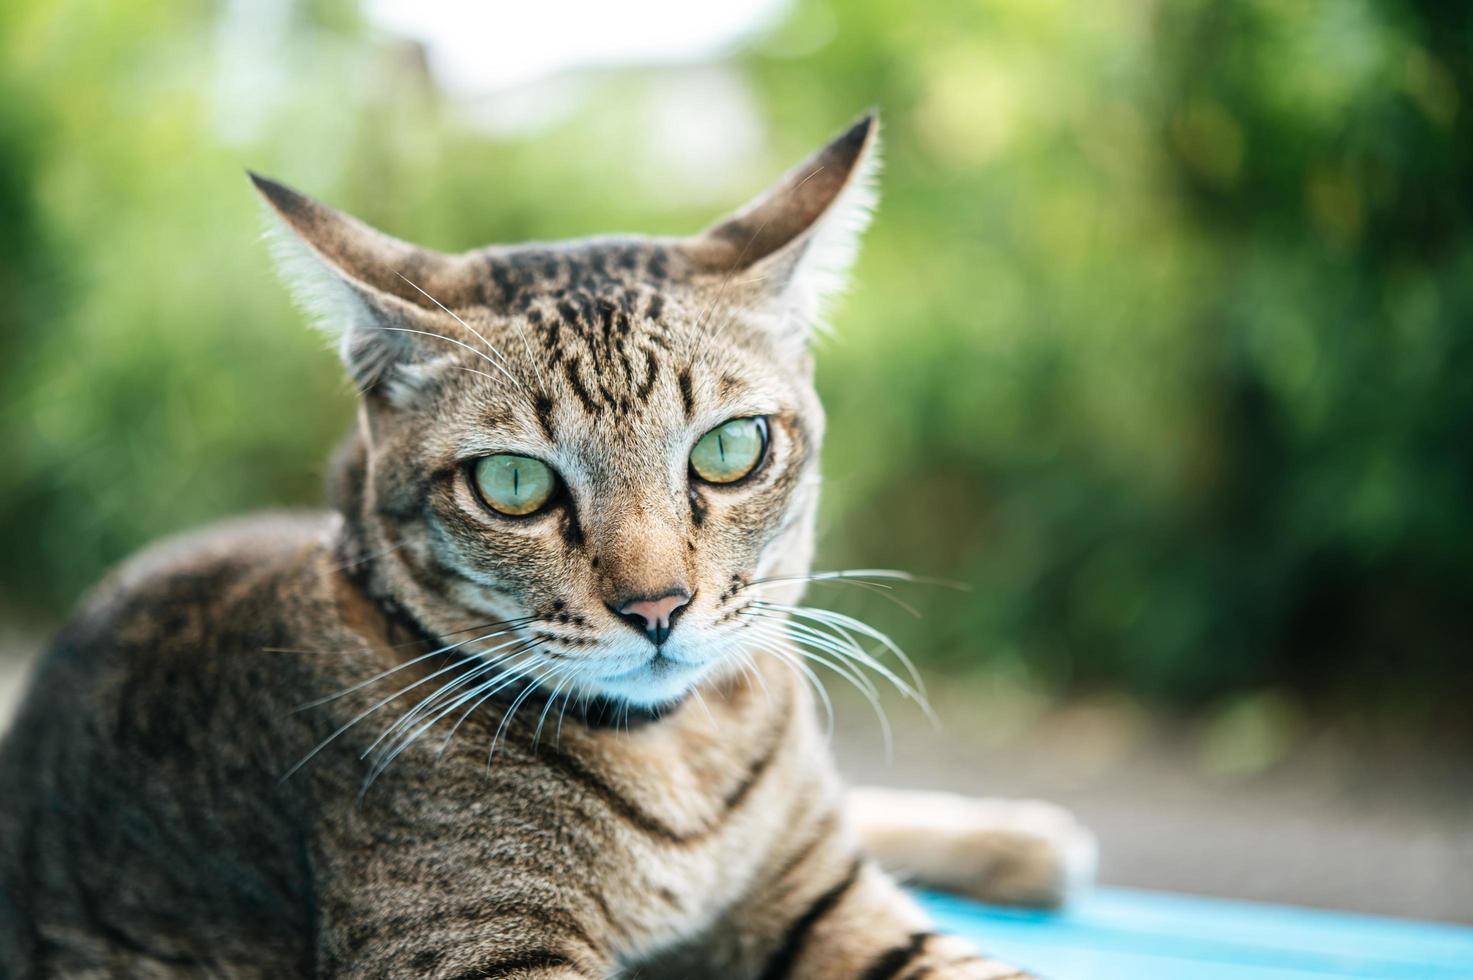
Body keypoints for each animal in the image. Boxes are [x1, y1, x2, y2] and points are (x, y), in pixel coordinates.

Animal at [0, 116, 1095, 978]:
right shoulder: (477, 948)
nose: (657, 607)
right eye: (514, 485)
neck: (679, 760)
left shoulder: (824, 893)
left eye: (730, 449)